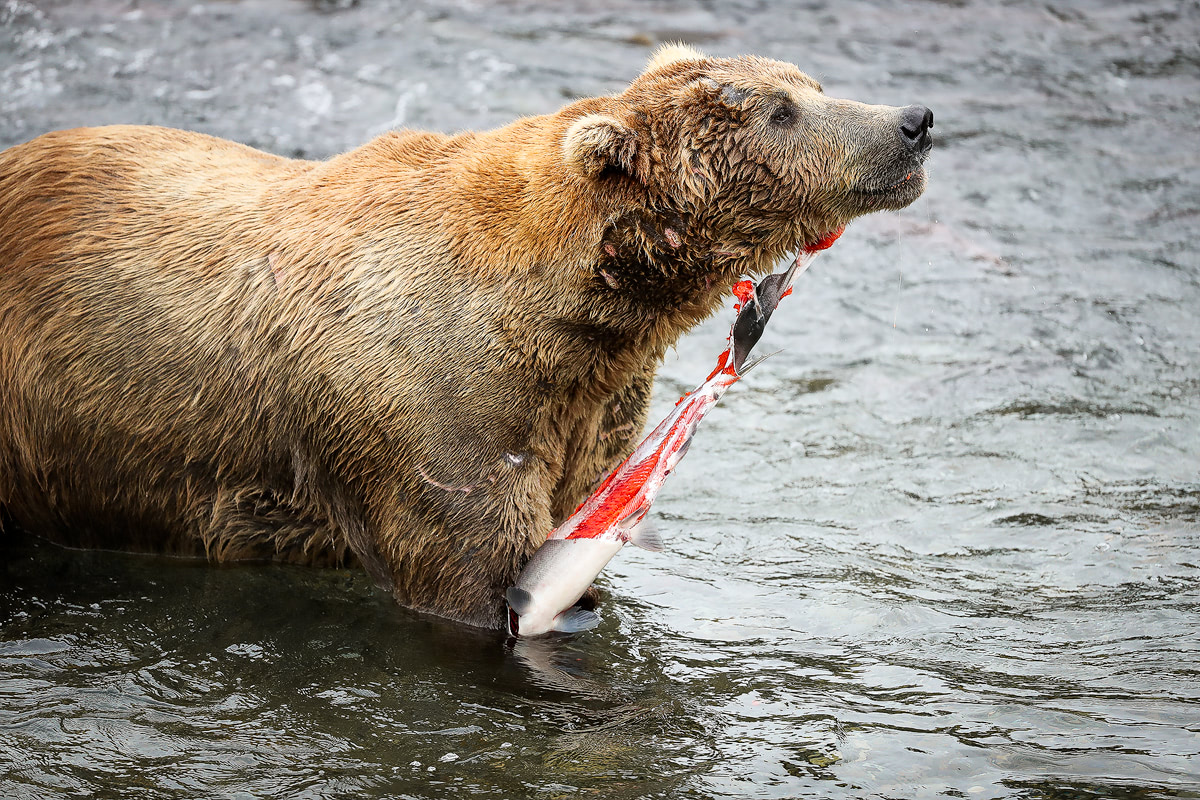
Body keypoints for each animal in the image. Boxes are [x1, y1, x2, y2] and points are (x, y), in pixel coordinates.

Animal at [0, 45, 926, 633]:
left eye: (809, 82)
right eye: (781, 110)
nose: (910, 120)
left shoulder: (588, 412)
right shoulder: (423, 404)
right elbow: (469, 567)